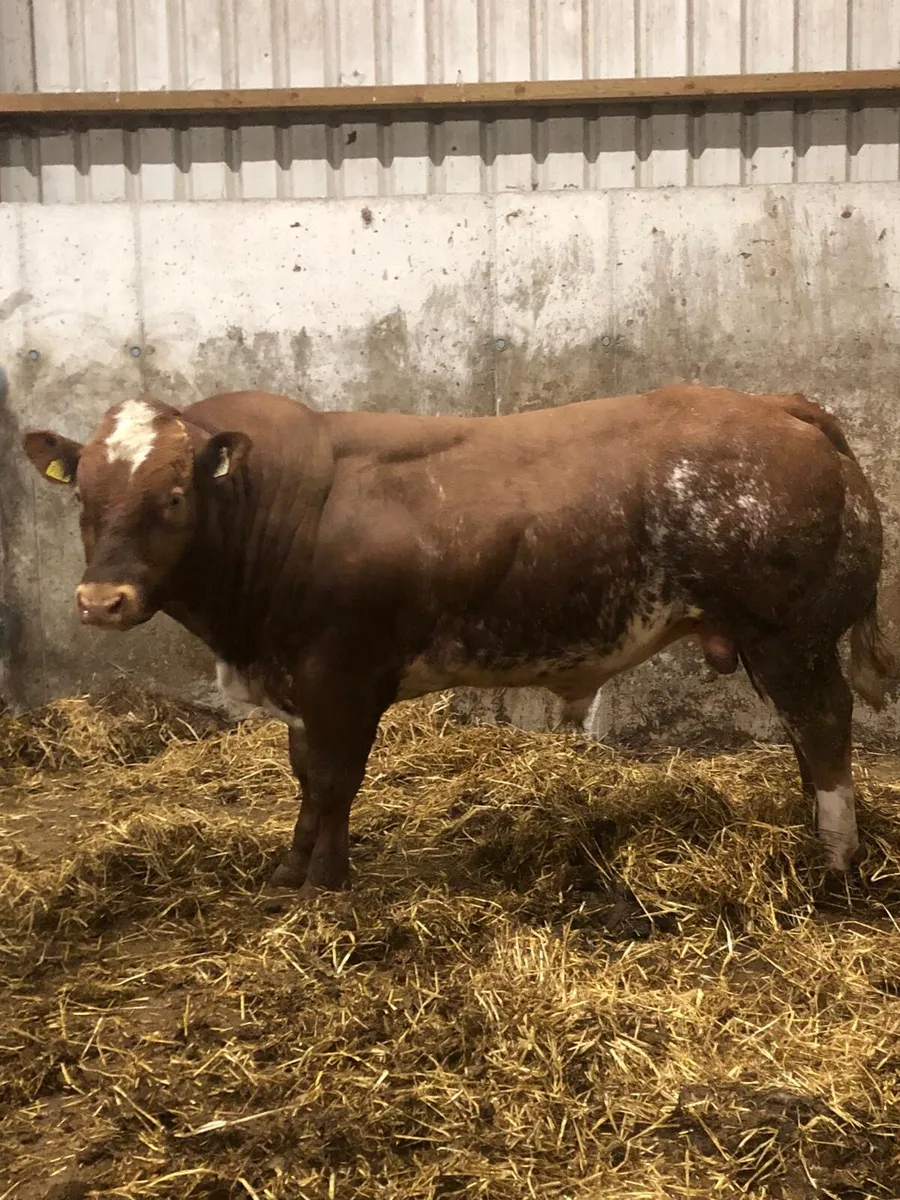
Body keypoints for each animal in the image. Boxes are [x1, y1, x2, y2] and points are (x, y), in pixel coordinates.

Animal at [22, 384, 896, 897]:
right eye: (84, 498)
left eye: (173, 496)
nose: (101, 601)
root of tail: (781, 403)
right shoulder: (303, 681)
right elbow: (307, 778)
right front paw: (292, 867)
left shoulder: (343, 671)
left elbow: (335, 779)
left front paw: (326, 881)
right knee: (804, 734)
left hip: (790, 634)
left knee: (823, 725)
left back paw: (834, 860)